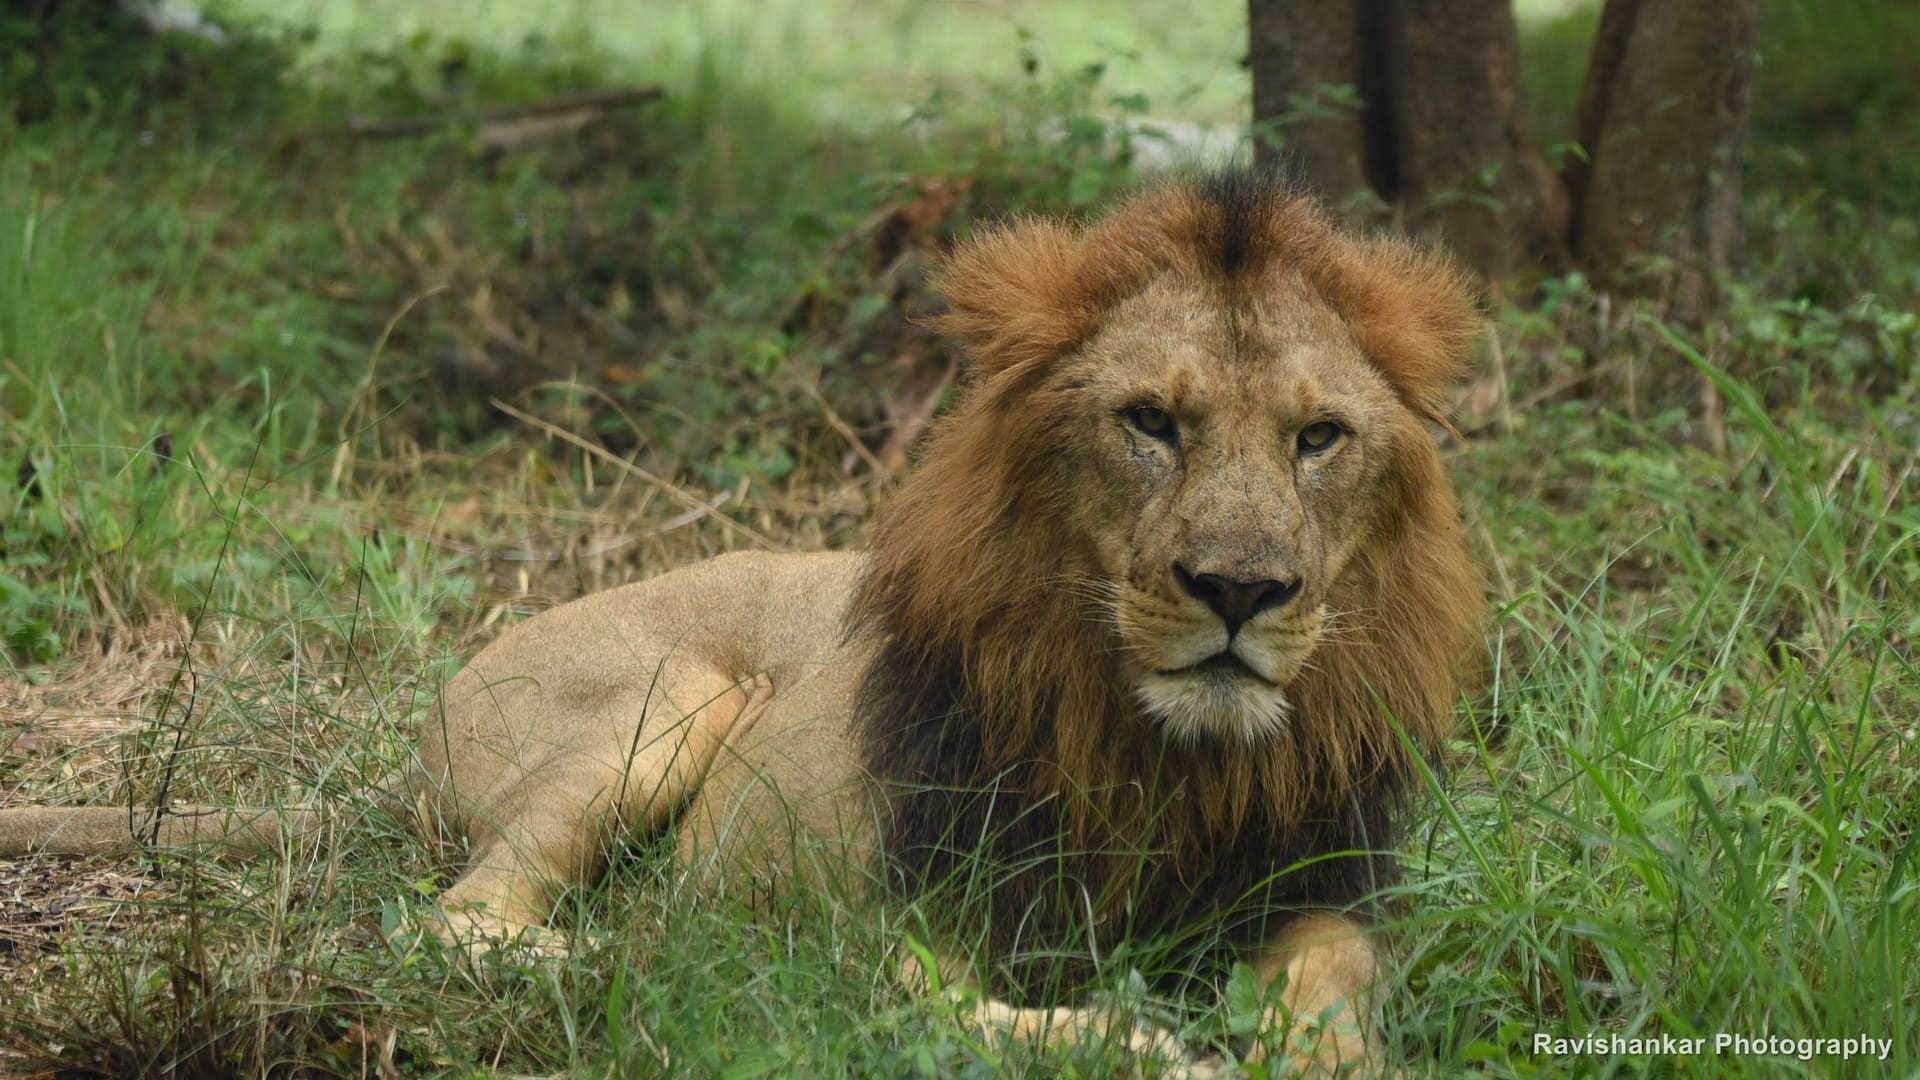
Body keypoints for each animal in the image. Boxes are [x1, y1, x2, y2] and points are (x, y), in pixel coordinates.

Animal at [0, 170, 1483, 1074]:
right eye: (1152, 423)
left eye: (1317, 439)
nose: (1241, 591)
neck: (1163, 755)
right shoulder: (883, 926)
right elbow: (949, 1005)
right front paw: (1151, 1044)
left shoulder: (1326, 888)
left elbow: (1339, 995)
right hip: (668, 702)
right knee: (461, 914)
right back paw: (640, 954)